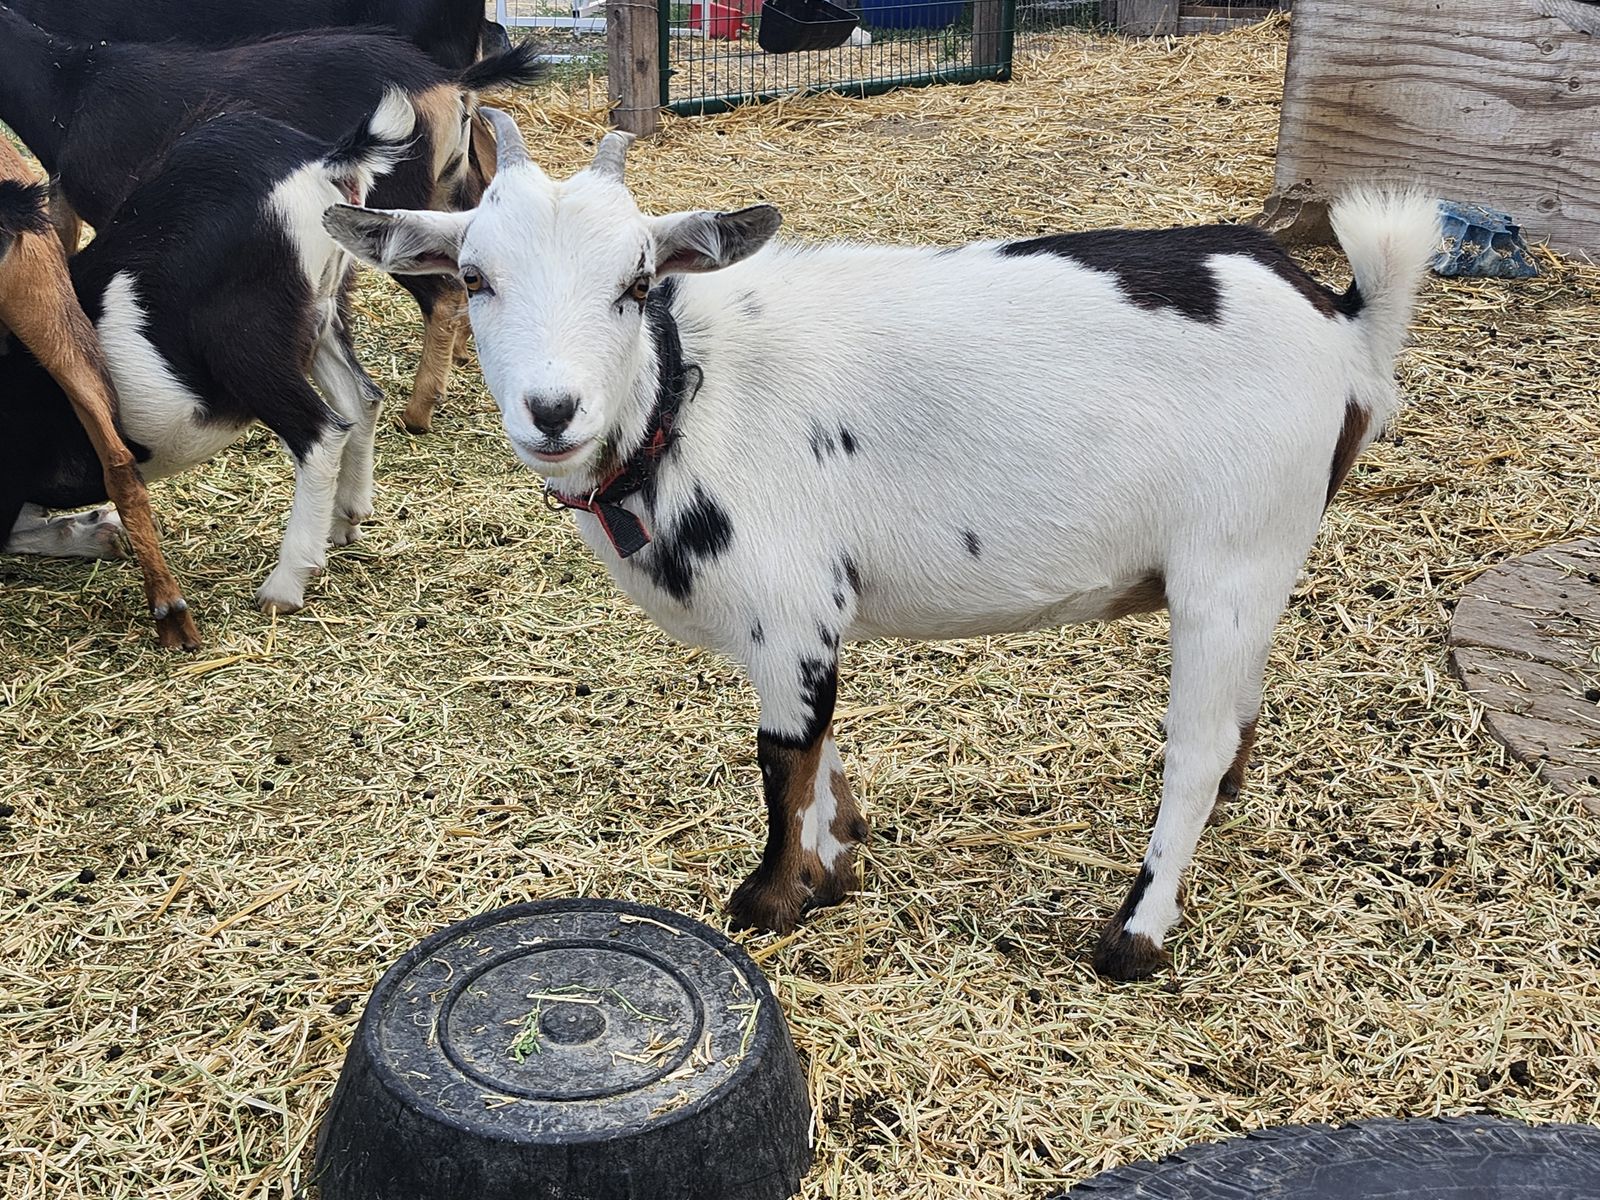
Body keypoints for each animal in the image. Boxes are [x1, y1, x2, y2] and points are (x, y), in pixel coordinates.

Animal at [0, 7, 543, 433]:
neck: (70, 90)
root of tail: (450, 86)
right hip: (447, 190)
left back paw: (417, 414)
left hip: (396, 203)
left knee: (442, 295)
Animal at [327, 117, 1439, 979]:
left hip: (1229, 553)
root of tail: (1343, 321)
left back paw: (1134, 934)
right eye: (475, 278)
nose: (553, 410)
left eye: (636, 282)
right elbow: (819, 752)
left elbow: (784, 756)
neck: (691, 392)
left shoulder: (791, 602)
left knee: (1193, 749)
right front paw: (841, 850)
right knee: (1241, 708)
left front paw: (777, 897)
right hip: (1256, 563)